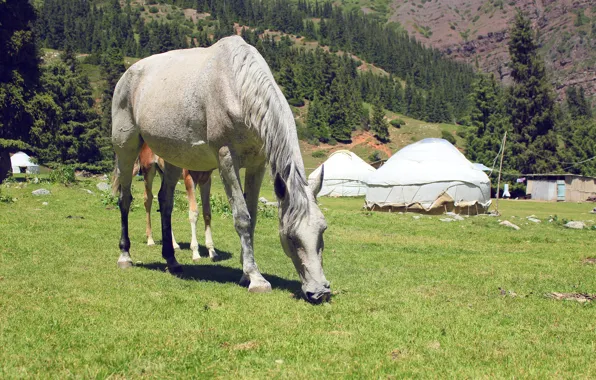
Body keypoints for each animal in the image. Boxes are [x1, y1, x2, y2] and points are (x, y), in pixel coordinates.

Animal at [109, 35, 328, 302]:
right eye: (291, 237)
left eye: (322, 231)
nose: (320, 292)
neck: (237, 87)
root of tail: (127, 75)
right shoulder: (226, 160)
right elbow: (242, 217)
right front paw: (256, 279)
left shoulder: (257, 164)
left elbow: (252, 217)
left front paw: (245, 273)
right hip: (126, 148)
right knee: (125, 199)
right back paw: (125, 256)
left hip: (172, 157)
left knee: (165, 202)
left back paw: (172, 261)